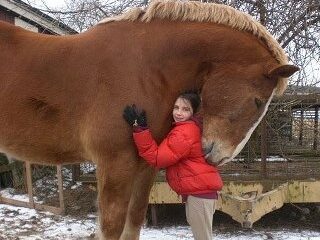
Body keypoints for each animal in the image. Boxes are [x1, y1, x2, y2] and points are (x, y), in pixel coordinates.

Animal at [0, 0, 298, 239]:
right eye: (258, 100)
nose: (219, 157)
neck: (144, 68)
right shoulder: (115, 165)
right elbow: (111, 228)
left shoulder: (144, 166)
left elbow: (133, 224)